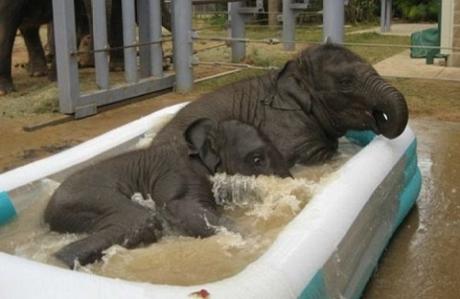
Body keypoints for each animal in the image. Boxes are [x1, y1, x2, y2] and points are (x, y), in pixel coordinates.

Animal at [45, 118, 292, 268]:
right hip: (83, 198)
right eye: (257, 159)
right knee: (139, 220)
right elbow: (177, 206)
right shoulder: (179, 173)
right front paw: (250, 240)